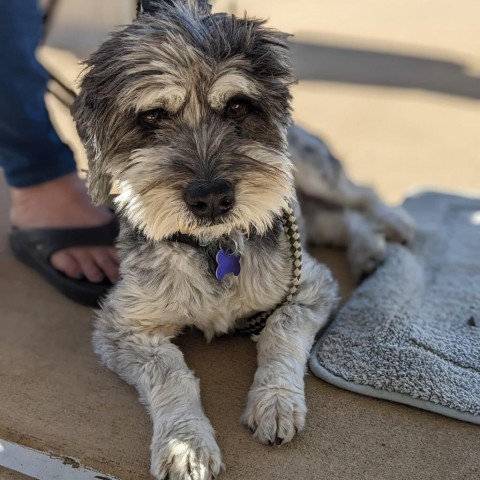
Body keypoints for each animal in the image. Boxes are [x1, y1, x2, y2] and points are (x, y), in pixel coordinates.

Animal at [71, 1, 412, 478]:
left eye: (237, 106)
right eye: (152, 116)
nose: (212, 198)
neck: (212, 248)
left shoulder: (310, 287)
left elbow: (280, 333)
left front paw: (276, 402)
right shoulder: (122, 328)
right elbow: (171, 373)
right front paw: (186, 444)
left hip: (311, 172)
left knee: (359, 197)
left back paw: (392, 227)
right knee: (341, 221)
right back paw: (368, 249)